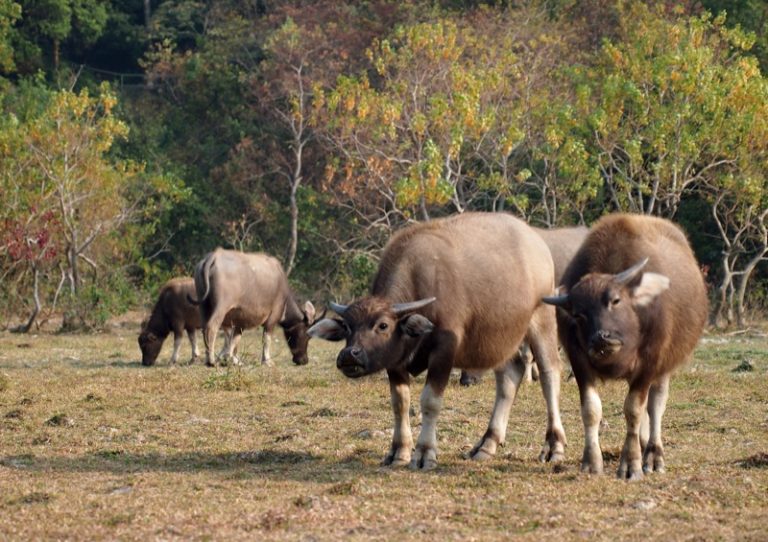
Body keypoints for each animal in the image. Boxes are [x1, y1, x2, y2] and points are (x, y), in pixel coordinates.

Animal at [189, 249, 318, 368]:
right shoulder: (273, 316)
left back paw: (208, 359)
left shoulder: (239, 323)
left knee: (205, 328)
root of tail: (214, 256)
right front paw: (267, 361)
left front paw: (230, 359)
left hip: (203, 306)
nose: (304, 360)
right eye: (307, 336)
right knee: (212, 327)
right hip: (221, 307)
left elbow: (233, 341)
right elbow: (266, 339)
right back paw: (211, 361)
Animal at [308, 212, 568, 472]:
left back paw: (554, 446)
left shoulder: (444, 352)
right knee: (509, 377)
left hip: (542, 319)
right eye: (347, 327)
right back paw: (487, 444)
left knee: (549, 373)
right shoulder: (395, 361)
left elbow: (430, 401)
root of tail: (538, 244)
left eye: (383, 325)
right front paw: (399, 451)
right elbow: (400, 403)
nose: (349, 355)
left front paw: (424, 453)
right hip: (501, 338)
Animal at [544, 215, 704, 482]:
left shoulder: (649, 363)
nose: (602, 338)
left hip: (664, 366)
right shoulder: (579, 362)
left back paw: (653, 454)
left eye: (615, 300)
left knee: (656, 404)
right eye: (578, 314)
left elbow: (634, 410)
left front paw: (632, 464)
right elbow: (591, 410)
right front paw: (591, 462)